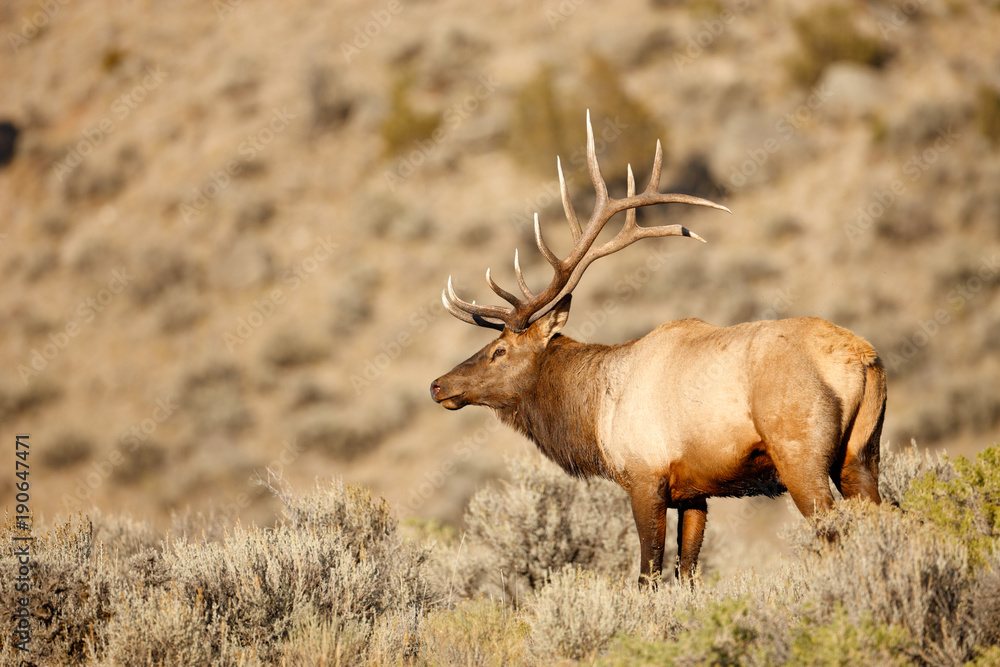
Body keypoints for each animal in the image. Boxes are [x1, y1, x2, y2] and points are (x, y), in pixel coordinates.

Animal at [429, 112, 886, 584]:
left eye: (499, 350)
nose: (439, 385)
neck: (595, 412)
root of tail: (862, 359)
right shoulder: (693, 491)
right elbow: (688, 571)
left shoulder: (645, 478)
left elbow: (648, 573)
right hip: (860, 454)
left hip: (801, 454)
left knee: (832, 532)